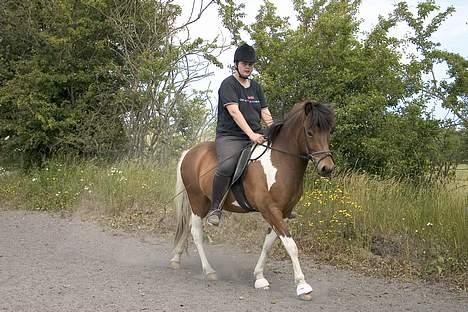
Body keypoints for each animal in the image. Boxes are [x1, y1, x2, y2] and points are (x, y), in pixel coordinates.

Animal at [170, 100, 334, 300]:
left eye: (329, 131)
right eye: (309, 132)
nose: (327, 167)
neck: (280, 162)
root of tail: (190, 152)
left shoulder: (282, 213)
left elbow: (268, 244)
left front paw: (259, 277)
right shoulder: (270, 210)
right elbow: (291, 246)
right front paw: (303, 286)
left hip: (203, 202)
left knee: (187, 226)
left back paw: (176, 259)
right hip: (197, 200)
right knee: (196, 233)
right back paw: (209, 271)